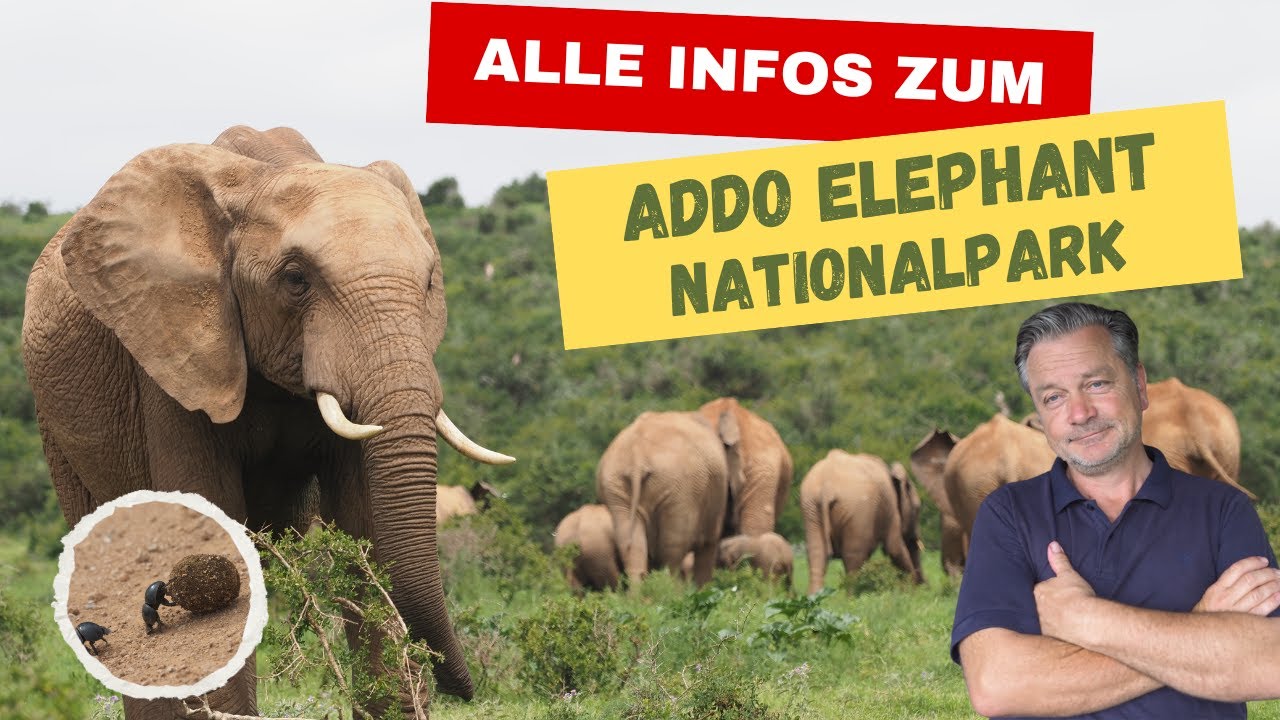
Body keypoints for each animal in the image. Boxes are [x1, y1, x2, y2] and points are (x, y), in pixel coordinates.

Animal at [22, 126, 513, 718]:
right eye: (296, 279)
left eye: (429, 284)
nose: (464, 689)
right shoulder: (171, 358)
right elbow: (205, 504)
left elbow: (368, 536)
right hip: (54, 426)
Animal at [596, 410, 735, 587]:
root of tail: (637, 455)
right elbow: (708, 544)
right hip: (679, 488)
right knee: (673, 548)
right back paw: (671, 591)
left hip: (616, 483)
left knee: (631, 543)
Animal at [800, 450, 923, 594]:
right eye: (917, 509)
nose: (924, 587)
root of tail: (827, 485)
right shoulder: (890, 506)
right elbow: (894, 548)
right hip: (858, 509)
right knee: (854, 557)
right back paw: (852, 597)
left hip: (811, 507)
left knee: (817, 555)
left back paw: (816, 596)